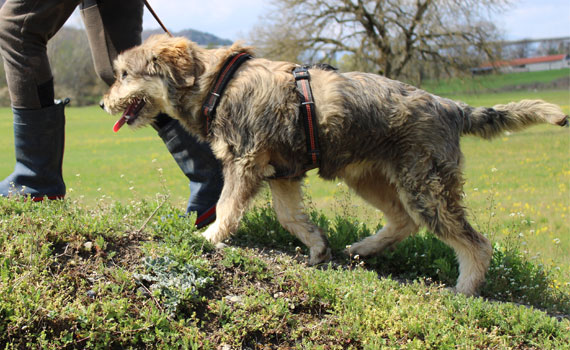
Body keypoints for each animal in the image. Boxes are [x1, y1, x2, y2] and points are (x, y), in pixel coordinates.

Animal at [101, 34, 564, 296]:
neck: (218, 82)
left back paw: (465, 289)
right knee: (403, 222)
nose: (104, 104)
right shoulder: (282, 172)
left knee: (475, 243)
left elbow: (229, 207)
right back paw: (362, 249)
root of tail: (452, 107)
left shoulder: (245, 161)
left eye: (124, 74)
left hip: (426, 187)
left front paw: (209, 237)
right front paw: (317, 247)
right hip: (370, 177)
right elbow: (290, 217)